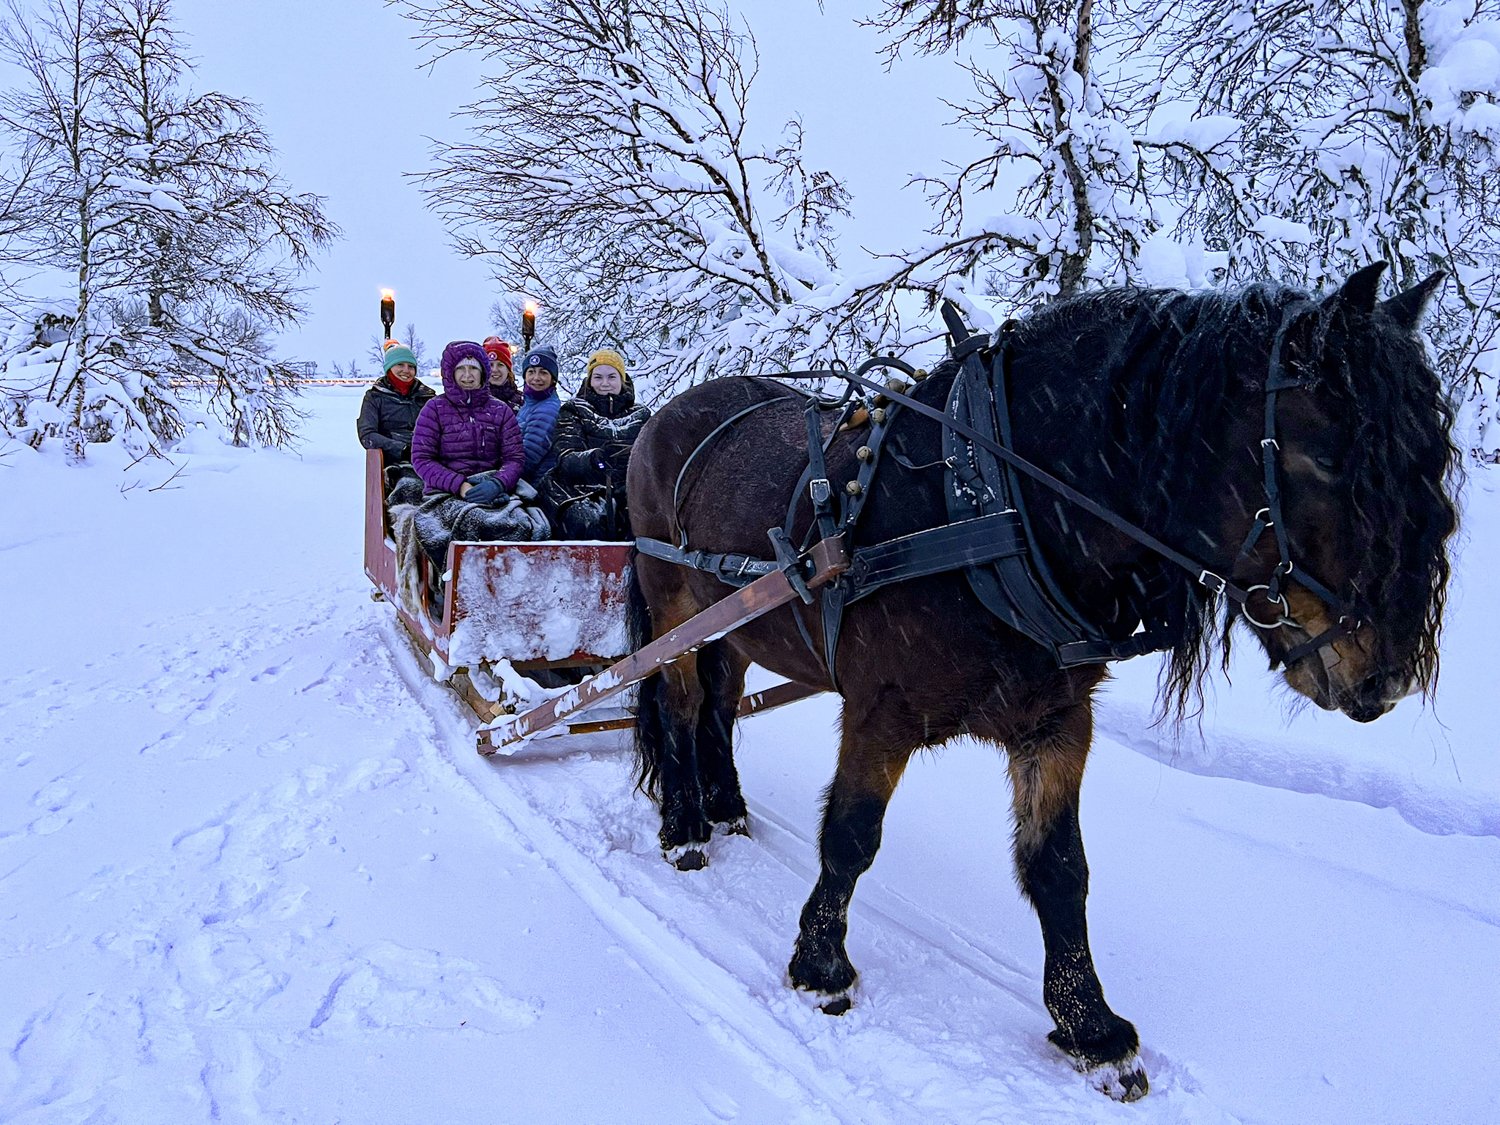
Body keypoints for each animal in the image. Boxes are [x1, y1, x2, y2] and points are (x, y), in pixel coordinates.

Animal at [618, 264, 1452, 1104]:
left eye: (1433, 462)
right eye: (1328, 461)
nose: (1384, 675)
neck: (993, 503)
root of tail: (665, 414)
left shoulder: (1056, 718)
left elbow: (1060, 869)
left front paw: (1091, 1026)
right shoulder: (881, 710)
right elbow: (851, 838)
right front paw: (821, 967)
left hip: (737, 624)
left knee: (722, 704)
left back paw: (726, 804)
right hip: (673, 607)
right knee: (683, 705)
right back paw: (684, 825)